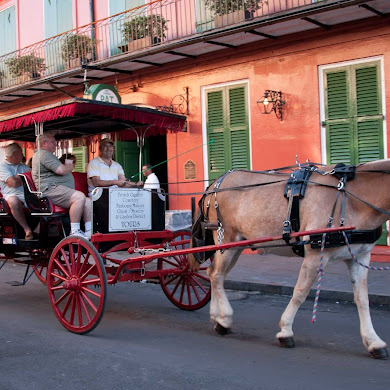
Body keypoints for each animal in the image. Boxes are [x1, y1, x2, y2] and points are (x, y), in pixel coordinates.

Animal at [189, 159, 390, 360]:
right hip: (226, 240)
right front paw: (285, 331)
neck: (351, 197)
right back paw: (225, 320)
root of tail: (215, 184)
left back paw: (217, 316)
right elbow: (300, 292)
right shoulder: (315, 255)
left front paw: (374, 341)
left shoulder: (359, 256)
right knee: (216, 275)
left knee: (214, 273)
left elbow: (362, 299)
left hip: (235, 245)